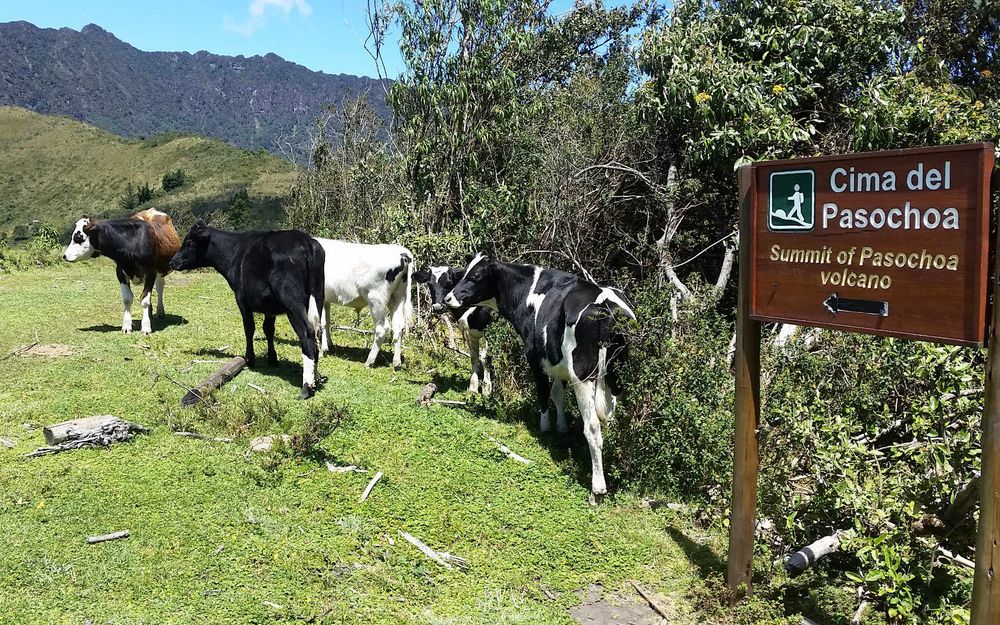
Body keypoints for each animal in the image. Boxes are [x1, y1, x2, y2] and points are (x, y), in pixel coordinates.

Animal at [62, 208, 181, 336]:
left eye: (79, 237)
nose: (65, 256)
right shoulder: (120, 272)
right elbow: (127, 299)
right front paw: (127, 326)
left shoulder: (150, 273)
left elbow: (144, 300)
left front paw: (146, 327)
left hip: (161, 271)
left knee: (159, 287)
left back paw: (160, 312)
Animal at [170, 222, 326, 398]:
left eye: (189, 242)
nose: (172, 261)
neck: (234, 252)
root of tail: (305, 240)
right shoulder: (269, 306)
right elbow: (268, 329)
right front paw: (272, 358)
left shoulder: (241, 299)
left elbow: (249, 328)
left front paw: (250, 359)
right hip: (318, 295)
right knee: (318, 331)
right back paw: (316, 378)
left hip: (292, 301)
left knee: (307, 332)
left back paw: (306, 387)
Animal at [308, 238, 410, 366]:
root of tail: (402, 253)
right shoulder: (326, 298)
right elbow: (327, 321)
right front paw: (328, 345)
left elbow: (320, 323)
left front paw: (321, 351)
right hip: (398, 297)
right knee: (398, 326)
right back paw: (396, 362)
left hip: (376, 300)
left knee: (383, 328)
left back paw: (369, 362)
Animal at [412, 264, 494, 392]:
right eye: (429, 284)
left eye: (449, 283)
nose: (437, 307)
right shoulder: (470, 332)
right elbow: (474, 357)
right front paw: (473, 388)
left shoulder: (489, 330)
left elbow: (485, 358)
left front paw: (486, 389)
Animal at [446, 254, 632, 502]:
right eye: (465, 271)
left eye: (475, 276)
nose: (449, 298)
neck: (529, 293)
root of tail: (606, 307)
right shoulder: (555, 360)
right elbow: (558, 393)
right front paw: (561, 427)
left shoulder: (535, 357)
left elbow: (544, 392)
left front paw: (545, 426)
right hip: (616, 376)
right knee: (610, 420)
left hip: (584, 377)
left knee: (592, 427)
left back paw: (597, 489)